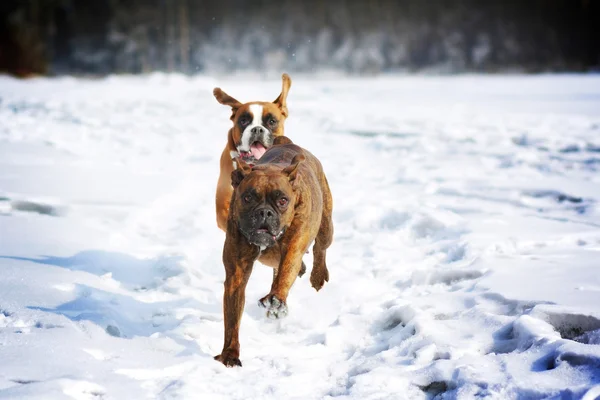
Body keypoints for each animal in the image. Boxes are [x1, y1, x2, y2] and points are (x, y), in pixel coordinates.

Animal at [213, 136, 332, 368]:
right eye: (248, 198)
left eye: (282, 200)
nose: (264, 212)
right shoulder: (236, 275)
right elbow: (232, 320)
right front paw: (229, 354)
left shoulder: (293, 249)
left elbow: (286, 273)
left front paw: (276, 300)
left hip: (325, 226)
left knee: (320, 249)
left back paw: (317, 276)